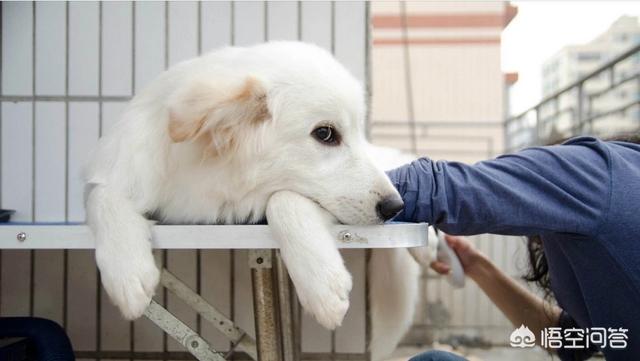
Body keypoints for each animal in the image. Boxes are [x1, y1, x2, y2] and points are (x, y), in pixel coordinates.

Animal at [84, 40, 436, 358]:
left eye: (352, 130)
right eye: (325, 134)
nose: (394, 207)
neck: (200, 170)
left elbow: (283, 199)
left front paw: (323, 286)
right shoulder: (121, 173)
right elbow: (101, 197)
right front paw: (127, 274)